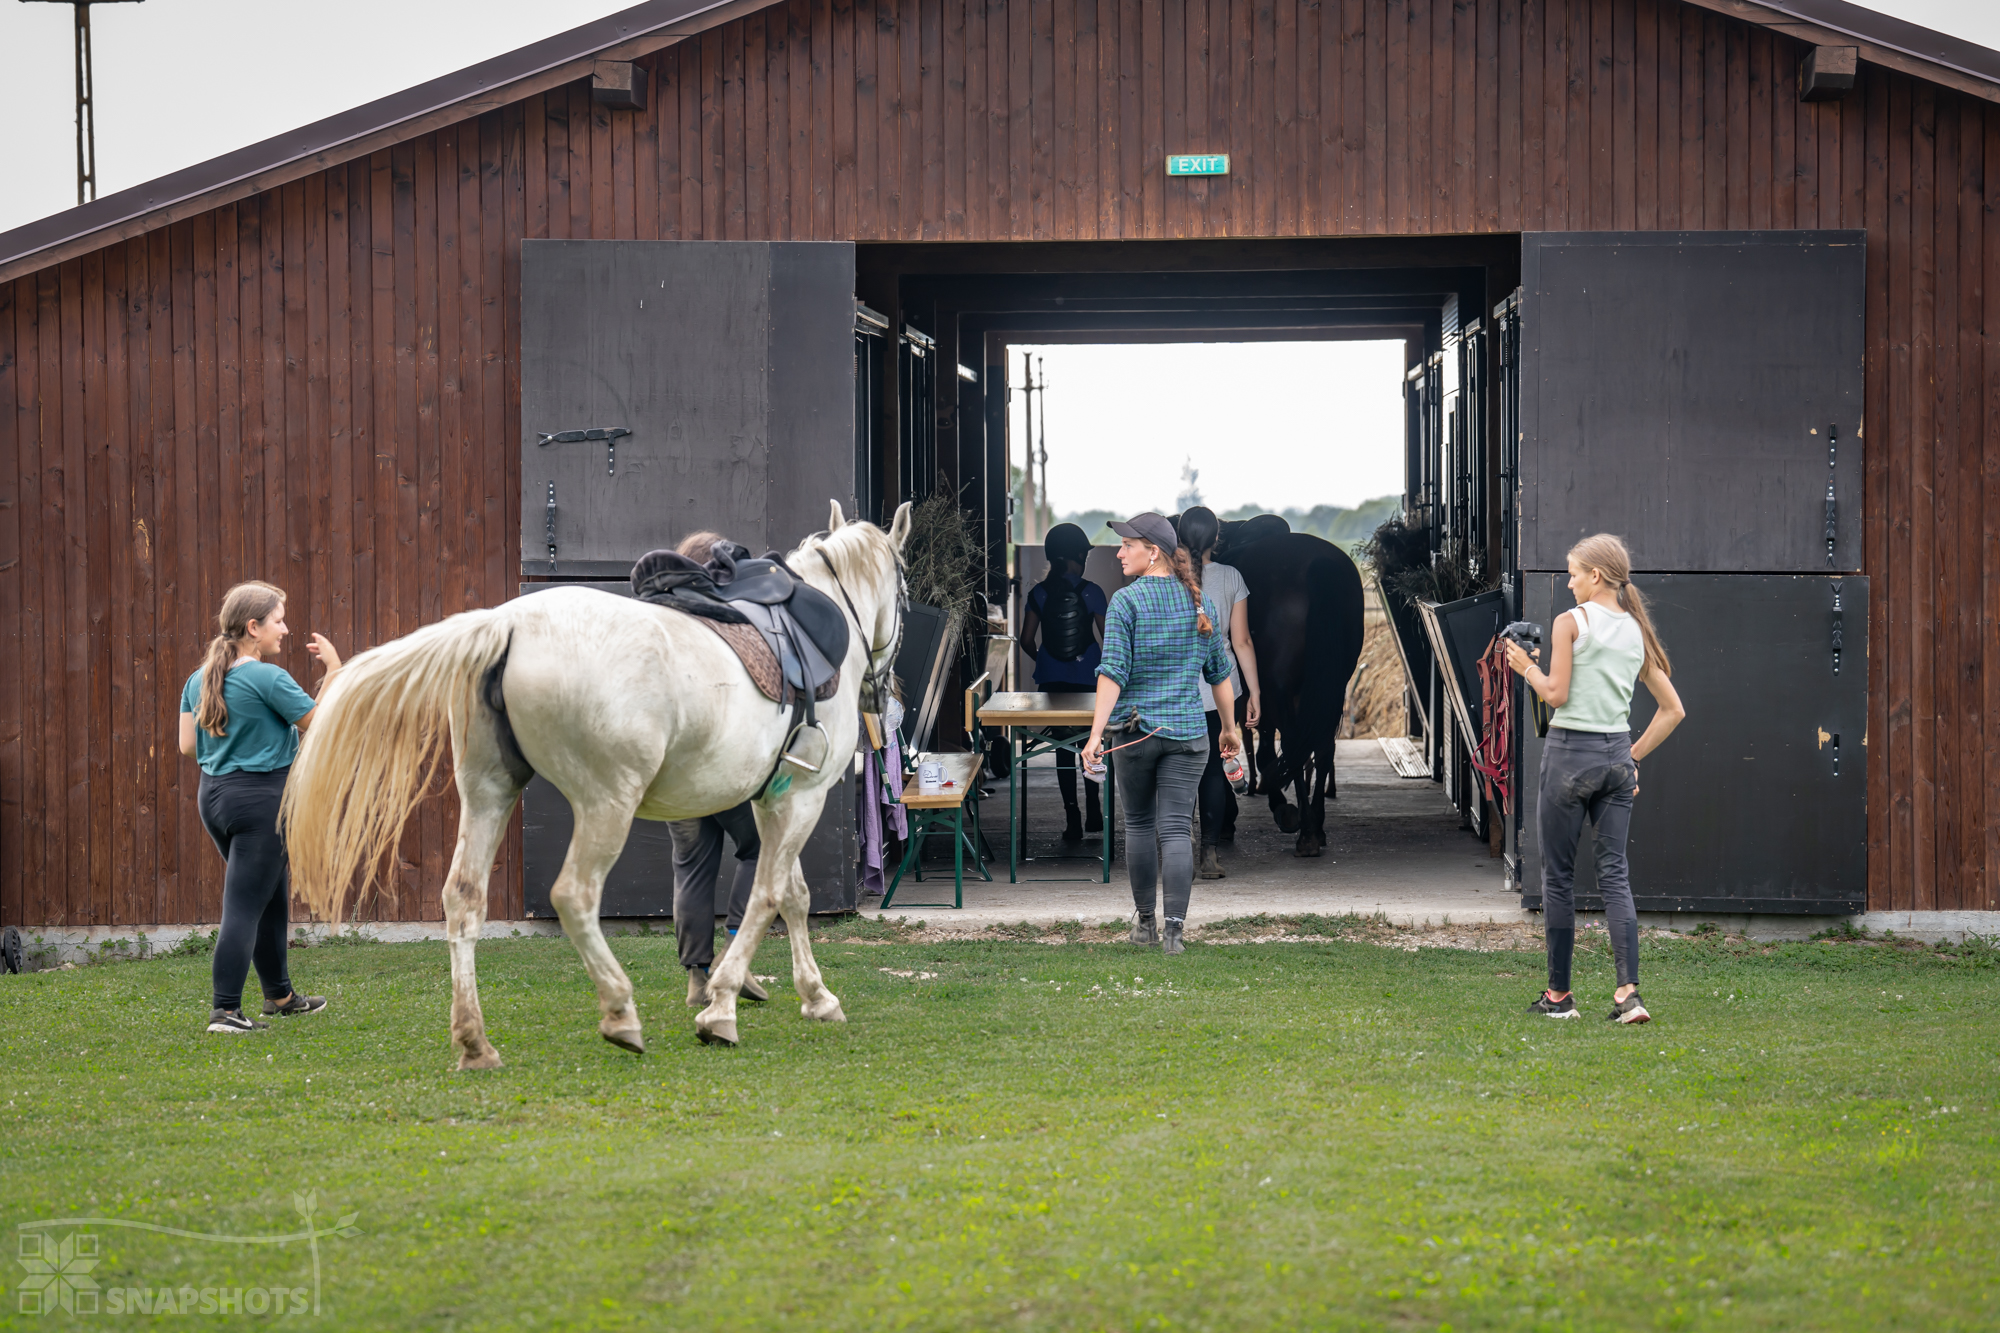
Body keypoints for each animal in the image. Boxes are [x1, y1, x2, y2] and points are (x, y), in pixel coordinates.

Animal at [280, 500, 908, 1072]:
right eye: (905, 590)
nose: (887, 692)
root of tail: (508, 623)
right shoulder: (802, 797)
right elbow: (769, 895)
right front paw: (721, 1009)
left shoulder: (774, 800)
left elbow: (794, 895)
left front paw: (817, 997)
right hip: (607, 805)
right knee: (574, 895)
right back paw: (620, 1012)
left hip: (488, 793)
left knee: (462, 898)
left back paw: (475, 1041)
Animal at [1208, 512, 1368, 856]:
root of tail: (1319, 564)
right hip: (1330, 687)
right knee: (1321, 747)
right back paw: (1315, 826)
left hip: (1282, 690)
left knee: (1295, 744)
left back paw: (1305, 831)